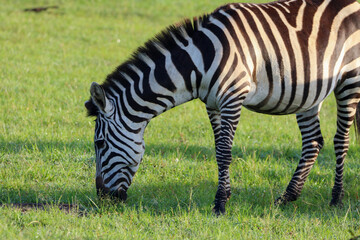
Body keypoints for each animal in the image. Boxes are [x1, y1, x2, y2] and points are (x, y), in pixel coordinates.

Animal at [85, 0, 360, 215]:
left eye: (100, 144)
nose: (103, 199)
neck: (200, 62)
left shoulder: (232, 98)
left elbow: (224, 151)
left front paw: (220, 204)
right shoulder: (213, 104)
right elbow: (218, 148)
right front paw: (224, 197)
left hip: (350, 79)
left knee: (341, 140)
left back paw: (336, 198)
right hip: (309, 92)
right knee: (313, 142)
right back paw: (287, 197)